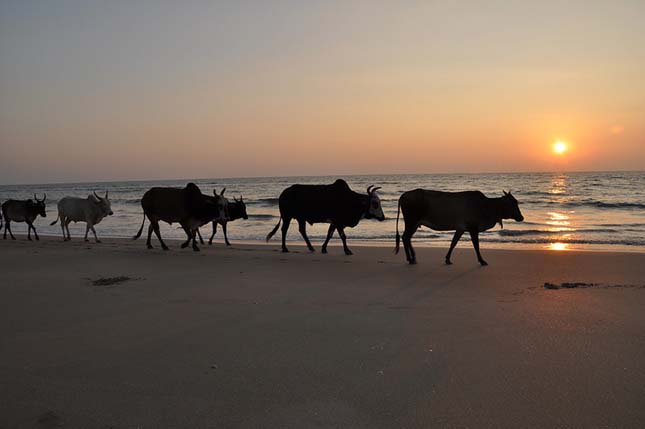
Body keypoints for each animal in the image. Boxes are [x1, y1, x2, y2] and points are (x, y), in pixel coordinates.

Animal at [392, 188, 524, 264]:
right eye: (513, 203)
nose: (521, 217)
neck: (487, 206)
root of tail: (403, 196)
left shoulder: (460, 229)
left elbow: (453, 243)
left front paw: (448, 259)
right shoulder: (473, 228)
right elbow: (476, 245)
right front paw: (482, 261)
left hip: (414, 224)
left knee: (407, 238)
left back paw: (413, 258)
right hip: (411, 222)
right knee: (405, 237)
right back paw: (410, 259)